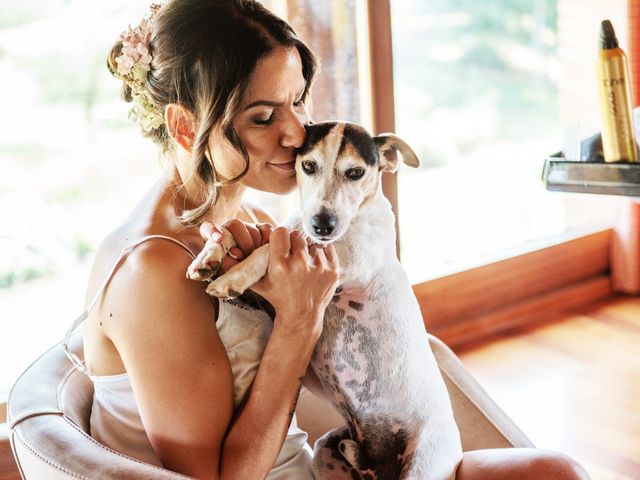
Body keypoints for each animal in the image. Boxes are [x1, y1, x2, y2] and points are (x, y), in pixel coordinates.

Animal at [188, 123, 462, 480]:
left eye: (356, 172)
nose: (322, 224)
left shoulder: (342, 257)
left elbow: (266, 252)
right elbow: (242, 232)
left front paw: (232, 278)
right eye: (308, 166)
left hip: (422, 466)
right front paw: (210, 256)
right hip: (326, 452)